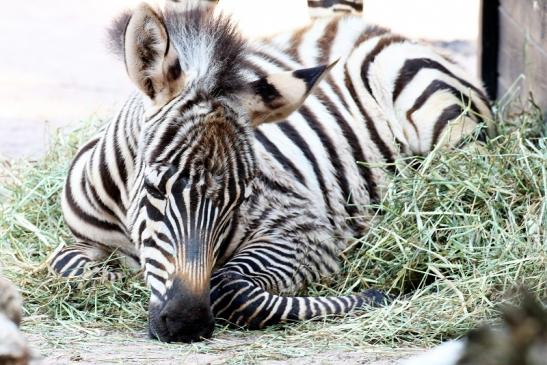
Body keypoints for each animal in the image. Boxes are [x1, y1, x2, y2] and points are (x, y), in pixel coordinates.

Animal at [46, 1, 492, 342]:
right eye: (156, 189)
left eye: (238, 202)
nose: (189, 325)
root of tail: (349, 23)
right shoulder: (80, 241)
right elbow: (70, 267)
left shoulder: (305, 231)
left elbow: (230, 288)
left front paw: (374, 297)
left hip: (442, 122)